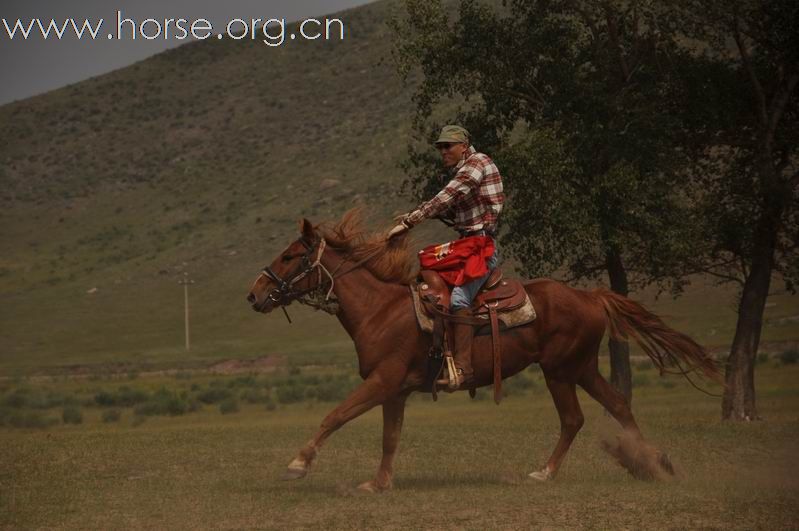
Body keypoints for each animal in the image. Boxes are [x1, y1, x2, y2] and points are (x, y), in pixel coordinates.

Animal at [244, 210, 720, 492]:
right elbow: (389, 437)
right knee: (618, 405)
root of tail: (590, 295)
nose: (254, 294)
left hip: (560, 371)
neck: (380, 310)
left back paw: (546, 472)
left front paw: (298, 463)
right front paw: (379, 483)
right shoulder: (396, 391)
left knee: (574, 418)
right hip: (582, 367)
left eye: (289, 256)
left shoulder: (381, 382)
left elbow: (335, 416)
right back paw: (653, 461)